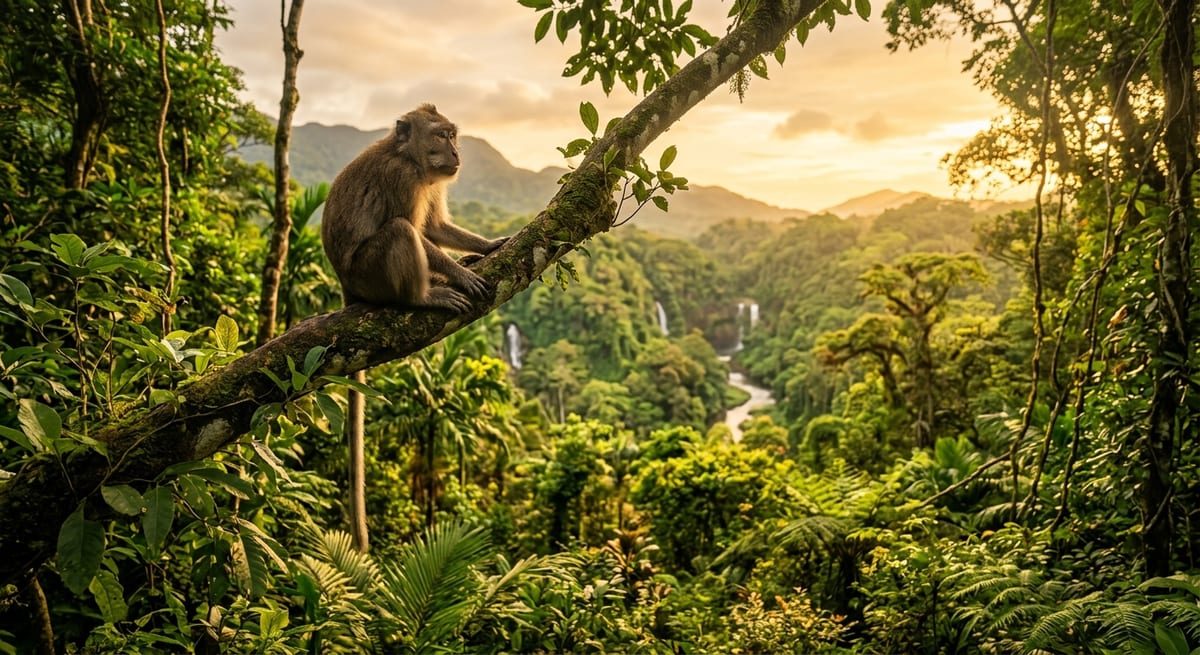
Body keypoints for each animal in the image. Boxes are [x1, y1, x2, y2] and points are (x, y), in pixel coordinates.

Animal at [320, 104, 510, 552]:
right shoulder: (402, 179)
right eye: (441, 135)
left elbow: (436, 227)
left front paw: (487, 246)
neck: (409, 158)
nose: (456, 152)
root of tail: (346, 286)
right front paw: (461, 275)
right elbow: (418, 232)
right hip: (370, 274)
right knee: (400, 231)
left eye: (453, 135)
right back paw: (424, 295)